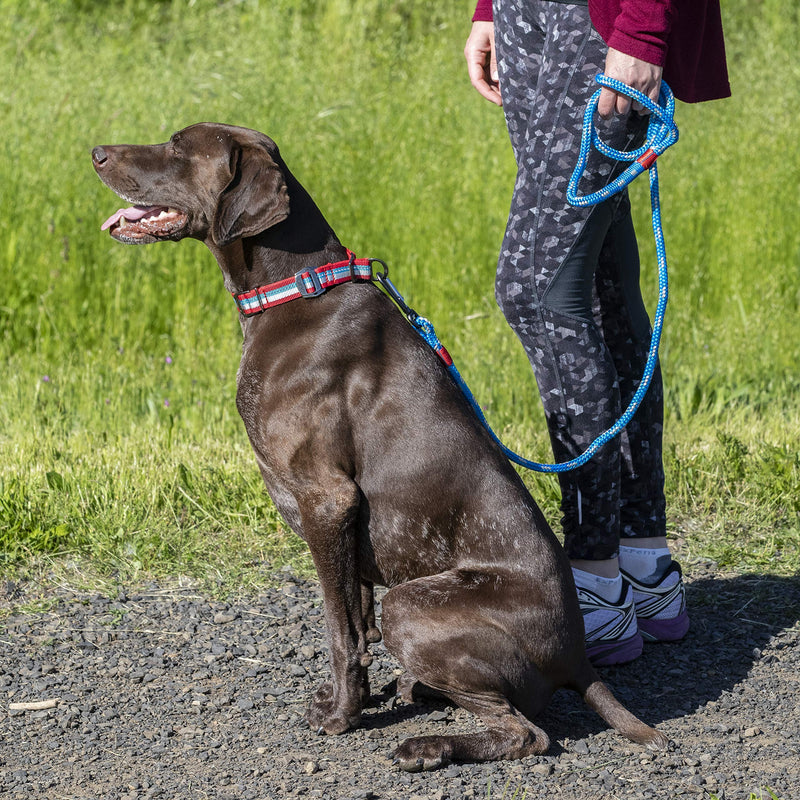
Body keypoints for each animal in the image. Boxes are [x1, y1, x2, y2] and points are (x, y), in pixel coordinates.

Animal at [92, 123, 668, 768]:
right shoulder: (349, 523)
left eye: (177, 146)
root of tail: (578, 658)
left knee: (528, 733)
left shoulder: (326, 500)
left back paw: (430, 744)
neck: (296, 290)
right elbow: (358, 616)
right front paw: (359, 700)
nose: (96, 153)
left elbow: (340, 632)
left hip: (414, 605)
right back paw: (418, 691)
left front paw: (343, 716)